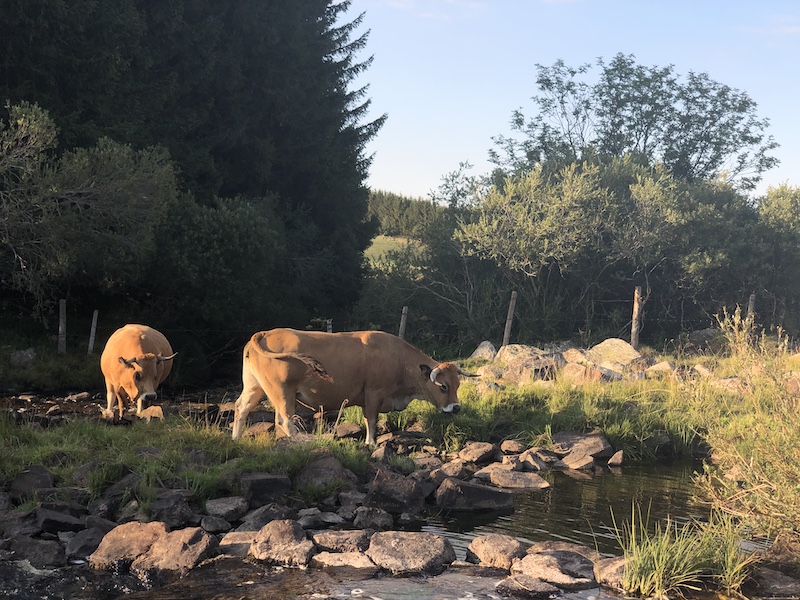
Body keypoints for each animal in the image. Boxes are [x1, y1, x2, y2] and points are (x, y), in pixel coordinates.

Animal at [231, 328, 476, 445]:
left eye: (457, 384)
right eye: (443, 386)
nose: (456, 408)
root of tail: (266, 333)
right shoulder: (373, 393)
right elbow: (371, 420)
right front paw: (371, 442)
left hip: (255, 386)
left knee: (241, 407)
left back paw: (235, 438)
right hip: (282, 391)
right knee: (283, 418)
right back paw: (302, 439)